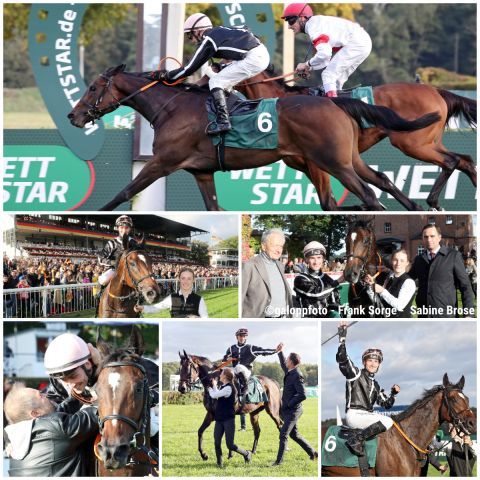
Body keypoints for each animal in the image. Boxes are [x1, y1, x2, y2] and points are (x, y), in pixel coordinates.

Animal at [68, 64, 442, 212]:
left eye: (93, 88)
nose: (73, 116)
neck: (171, 108)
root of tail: (334, 101)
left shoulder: (162, 162)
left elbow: (124, 193)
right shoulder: (202, 172)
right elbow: (214, 208)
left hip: (334, 161)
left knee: (369, 194)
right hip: (347, 158)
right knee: (378, 182)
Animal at [237, 69, 476, 210]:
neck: (282, 102)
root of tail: (436, 90)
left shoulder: (317, 163)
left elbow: (329, 203)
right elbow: (381, 181)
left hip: (412, 143)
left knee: (451, 161)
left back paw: (433, 201)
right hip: (429, 142)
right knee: (464, 160)